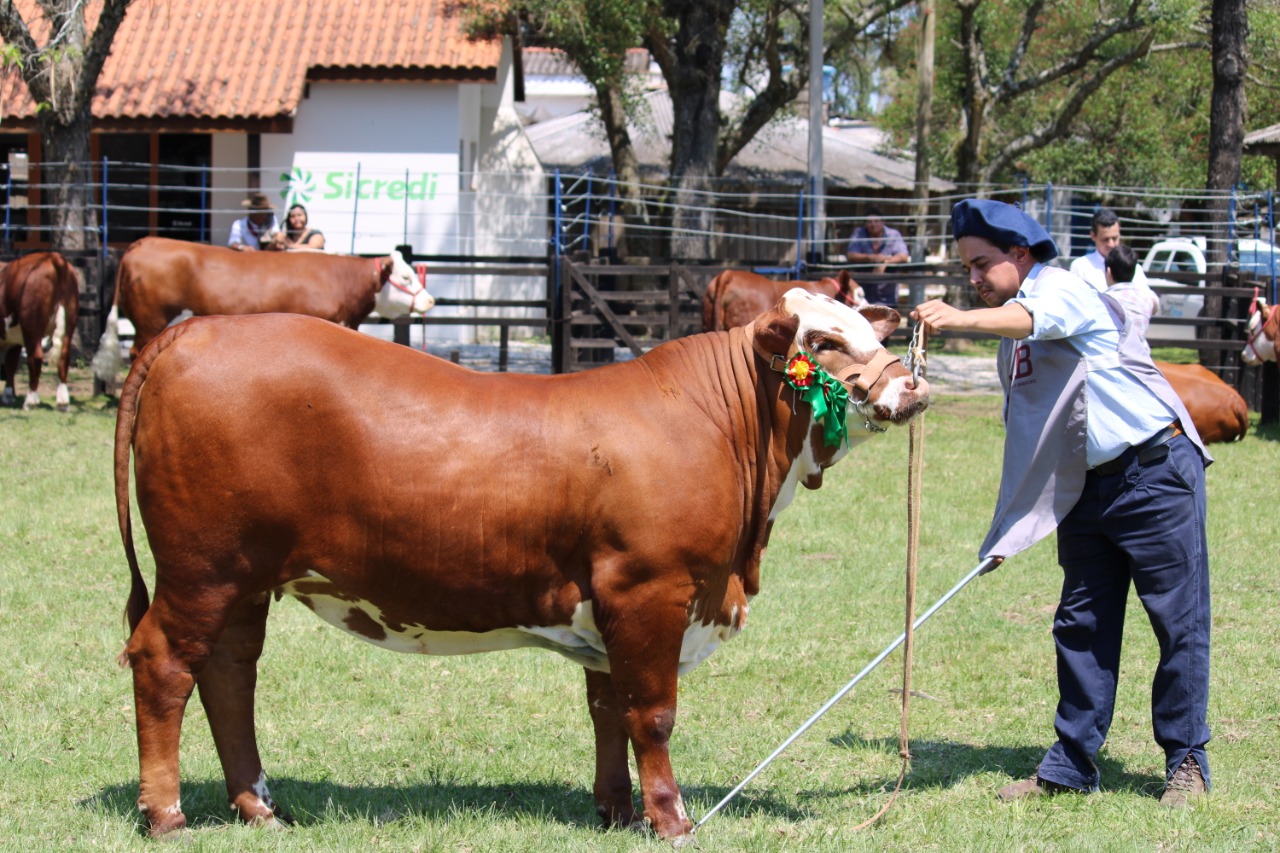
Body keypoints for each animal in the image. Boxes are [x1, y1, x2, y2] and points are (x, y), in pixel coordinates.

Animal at [0, 251, 81, 409]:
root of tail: (53, 256)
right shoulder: (14, 338)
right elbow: (10, 363)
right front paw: (8, 395)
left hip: (31, 324)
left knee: (36, 356)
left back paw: (30, 401)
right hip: (69, 322)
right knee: (64, 356)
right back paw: (63, 401)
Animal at [112, 289, 931, 840]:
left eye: (870, 330)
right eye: (825, 341)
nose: (913, 384)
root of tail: (191, 332)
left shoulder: (610, 605)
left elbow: (610, 709)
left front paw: (615, 810)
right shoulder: (651, 589)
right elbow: (653, 713)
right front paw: (670, 819)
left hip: (245, 578)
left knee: (228, 675)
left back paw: (259, 806)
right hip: (203, 568)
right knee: (165, 663)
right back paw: (167, 814)